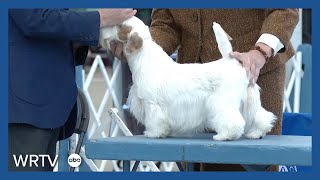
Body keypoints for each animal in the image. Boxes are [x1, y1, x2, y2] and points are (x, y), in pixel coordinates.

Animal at [100, 16, 276, 141]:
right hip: (249, 100)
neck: (144, 56)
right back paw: (255, 133)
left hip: (222, 103)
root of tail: (231, 60)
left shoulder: (151, 104)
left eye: (118, 25)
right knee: (261, 116)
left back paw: (224, 136)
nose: (101, 29)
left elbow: (155, 120)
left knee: (232, 121)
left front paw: (153, 133)